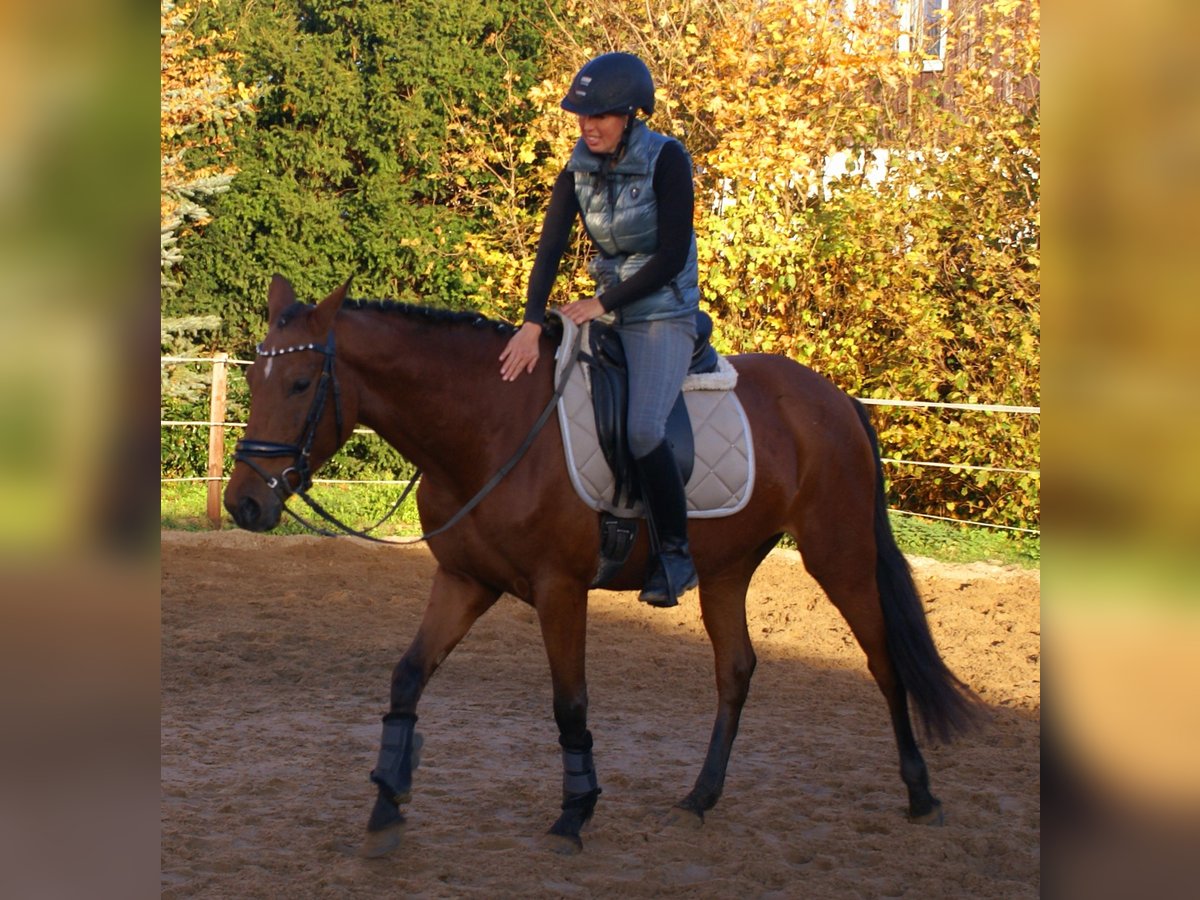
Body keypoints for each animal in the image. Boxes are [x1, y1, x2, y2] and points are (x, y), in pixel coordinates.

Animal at [224, 275, 982, 857]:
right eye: (255, 376)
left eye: (299, 382)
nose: (242, 503)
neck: (490, 426)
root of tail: (834, 399)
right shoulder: (465, 582)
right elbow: (408, 676)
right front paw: (386, 804)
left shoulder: (560, 590)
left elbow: (571, 701)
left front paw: (575, 811)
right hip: (727, 569)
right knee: (735, 671)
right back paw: (700, 796)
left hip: (840, 554)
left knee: (883, 662)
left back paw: (921, 793)